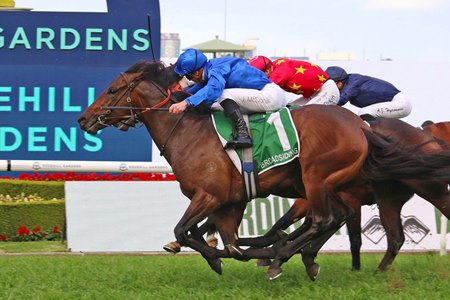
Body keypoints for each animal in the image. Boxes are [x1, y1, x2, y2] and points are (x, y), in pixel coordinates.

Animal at [78, 61, 450, 282]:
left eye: (113, 89)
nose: (83, 119)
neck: (188, 130)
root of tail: (361, 127)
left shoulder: (209, 195)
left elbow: (187, 231)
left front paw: (233, 256)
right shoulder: (230, 201)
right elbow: (212, 235)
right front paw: (228, 253)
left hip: (318, 179)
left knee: (325, 220)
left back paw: (279, 258)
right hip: (362, 192)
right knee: (364, 227)